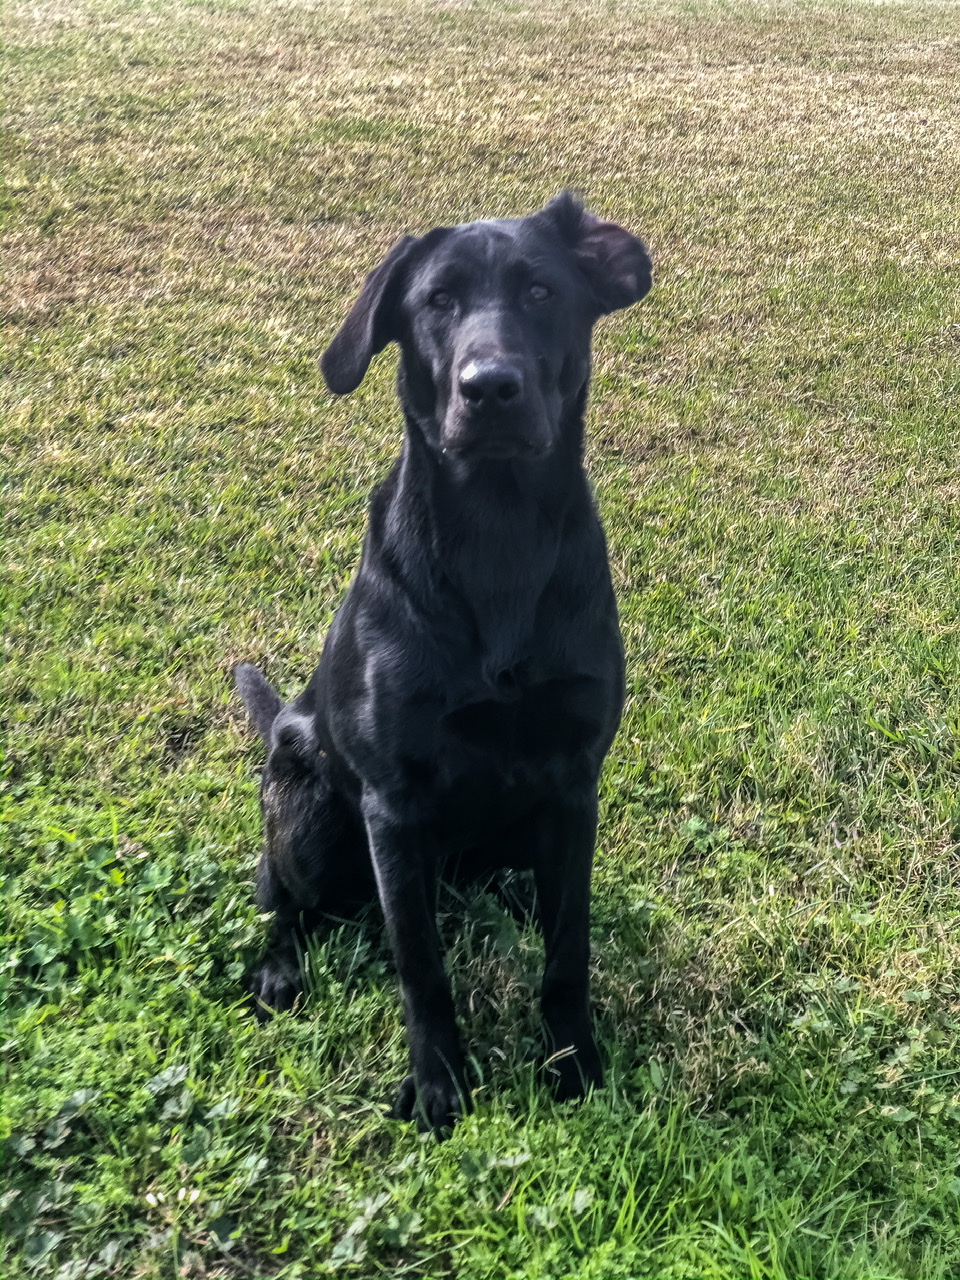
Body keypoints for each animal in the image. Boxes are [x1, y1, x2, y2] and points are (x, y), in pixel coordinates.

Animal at [235, 189, 655, 1131]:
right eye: (437, 301)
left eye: (540, 292)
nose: (489, 387)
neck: (497, 534)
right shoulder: (393, 805)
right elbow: (421, 968)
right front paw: (439, 1086)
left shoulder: (574, 783)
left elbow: (568, 947)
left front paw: (574, 1062)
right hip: (308, 815)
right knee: (280, 896)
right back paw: (278, 966)